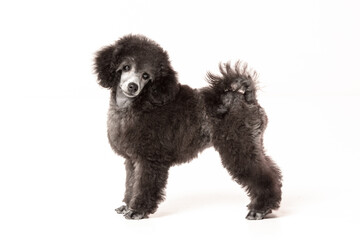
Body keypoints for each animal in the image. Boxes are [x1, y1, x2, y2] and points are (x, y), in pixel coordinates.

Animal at [94, 34, 282, 220]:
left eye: (146, 76)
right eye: (126, 67)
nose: (133, 86)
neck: (140, 103)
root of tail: (249, 99)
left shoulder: (150, 159)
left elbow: (144, 186)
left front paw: (137, 210)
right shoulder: (133, 159)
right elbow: (131, 183)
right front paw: (127, 205)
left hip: (239, 146)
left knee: (264, 177)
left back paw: (260, 209)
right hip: (252, 144)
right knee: (273, 171)